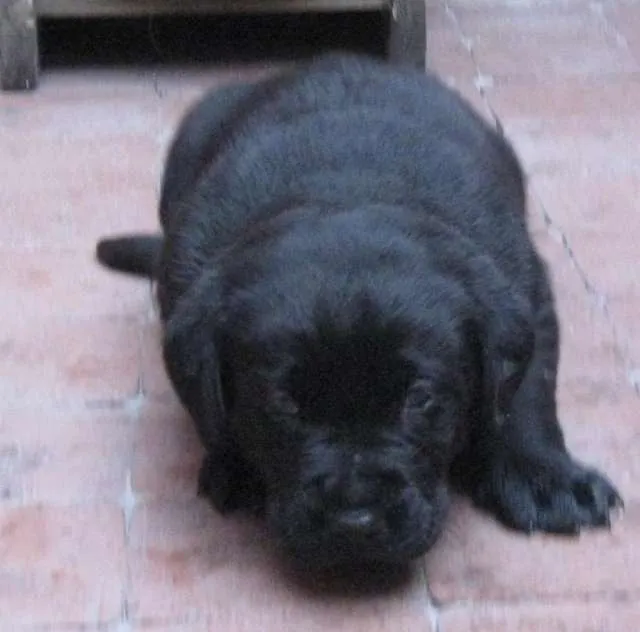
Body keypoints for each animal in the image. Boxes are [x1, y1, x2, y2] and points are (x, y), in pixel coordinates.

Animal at [97, 53, 624, 568]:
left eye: (420, 399)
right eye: (283, 403)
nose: (355, 523)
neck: (348, 188)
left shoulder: (525, 287)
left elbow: (526, 395)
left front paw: (546, 479)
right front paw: (236, 465)